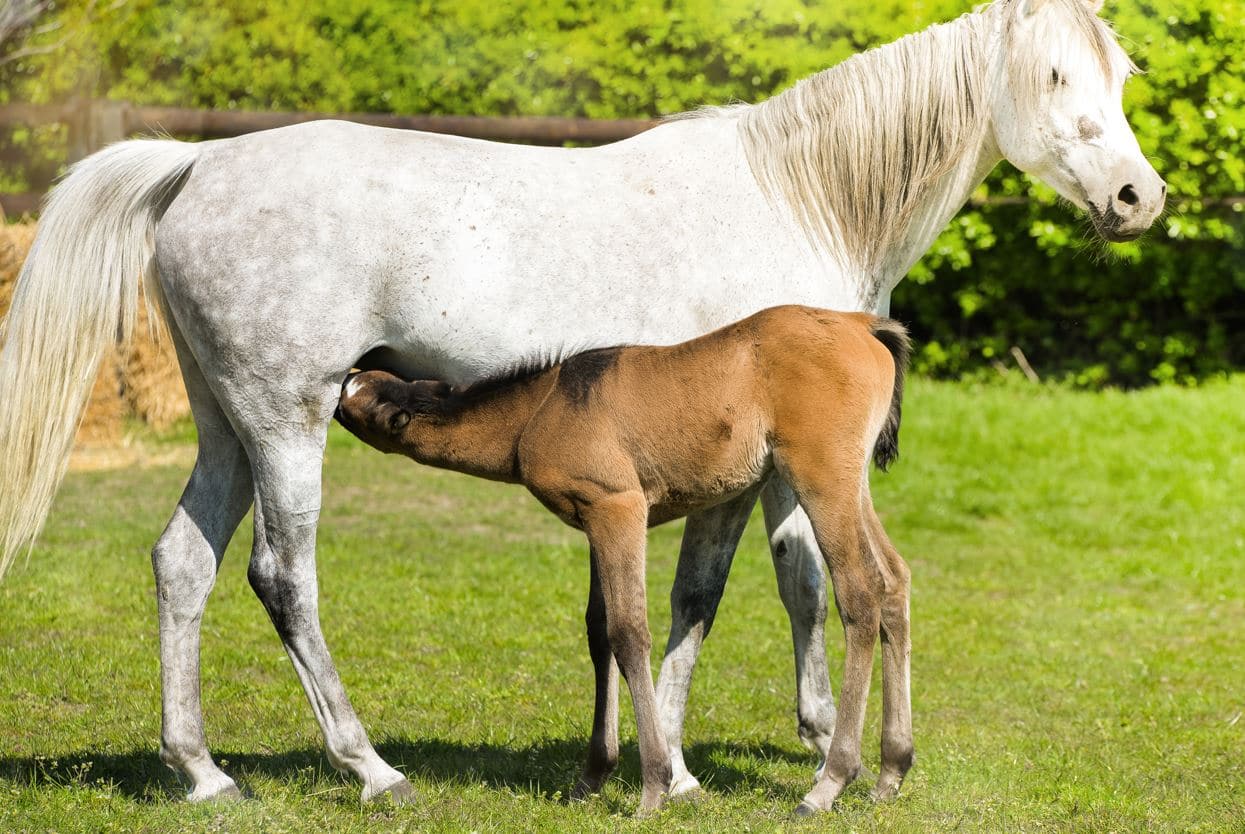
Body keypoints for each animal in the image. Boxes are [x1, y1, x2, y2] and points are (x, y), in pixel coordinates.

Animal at [338, 307, 916, 816]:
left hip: (820, 479)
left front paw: (654, 786)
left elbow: (629, 631)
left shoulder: (619, 508)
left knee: (860, 593)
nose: (339, 380)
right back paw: (891, 770)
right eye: (360, 381)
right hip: (853, 485)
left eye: (358, 399)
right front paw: (592, 777)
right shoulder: (593, 519)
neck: (541, 408)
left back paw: (830, 783)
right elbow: (599, 633)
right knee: (894, 581)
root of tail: (862, 324)